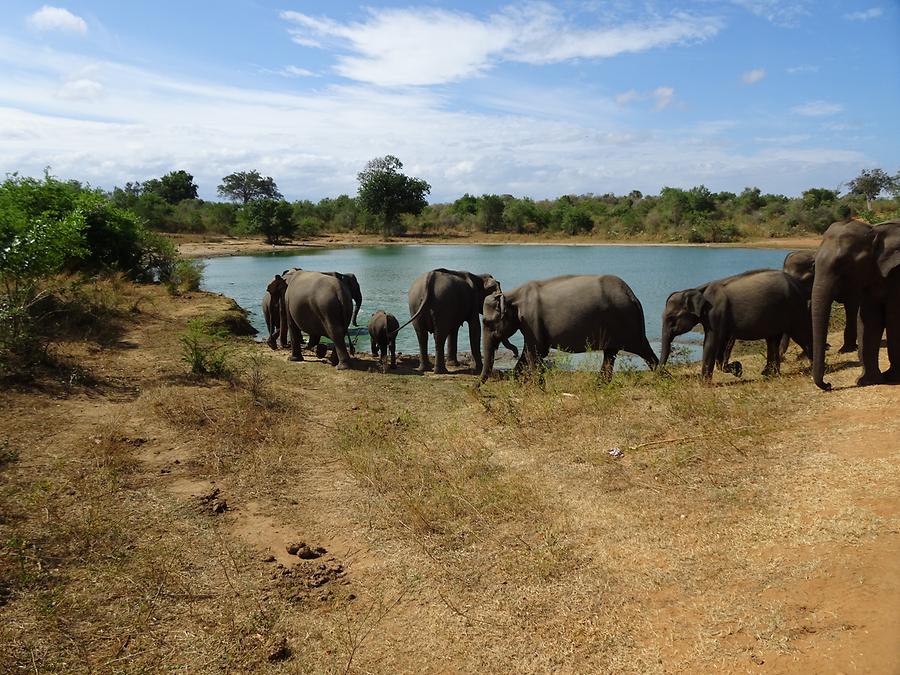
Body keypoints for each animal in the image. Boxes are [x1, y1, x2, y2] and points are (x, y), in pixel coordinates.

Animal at [482, 274, 656, 380]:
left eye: (487, 322)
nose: (477, 389)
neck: (510, 295)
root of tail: (633, 296)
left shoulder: (531, 320)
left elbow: (535, 353)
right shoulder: (530, 324)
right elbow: (529, 353)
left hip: (626, 321)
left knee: (642, 350)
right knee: (611, 354)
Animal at [656, 270, 812, 386]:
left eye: (671, 318)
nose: (661, 375)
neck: (697, 289)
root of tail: (798, 284)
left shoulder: (716, 313)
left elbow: (711, 342)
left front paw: (703, 384)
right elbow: (722, 343)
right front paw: (738, 370)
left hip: (795, 308)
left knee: (802, 335)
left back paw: (811, 369)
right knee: (773, 340)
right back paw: (770, 374)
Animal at [808, 220, 900, 390]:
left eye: (843, 262)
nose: (829, 385)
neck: (876, 232)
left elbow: (893, 320)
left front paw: (892, 377)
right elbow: (869, 319)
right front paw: (867, 381)